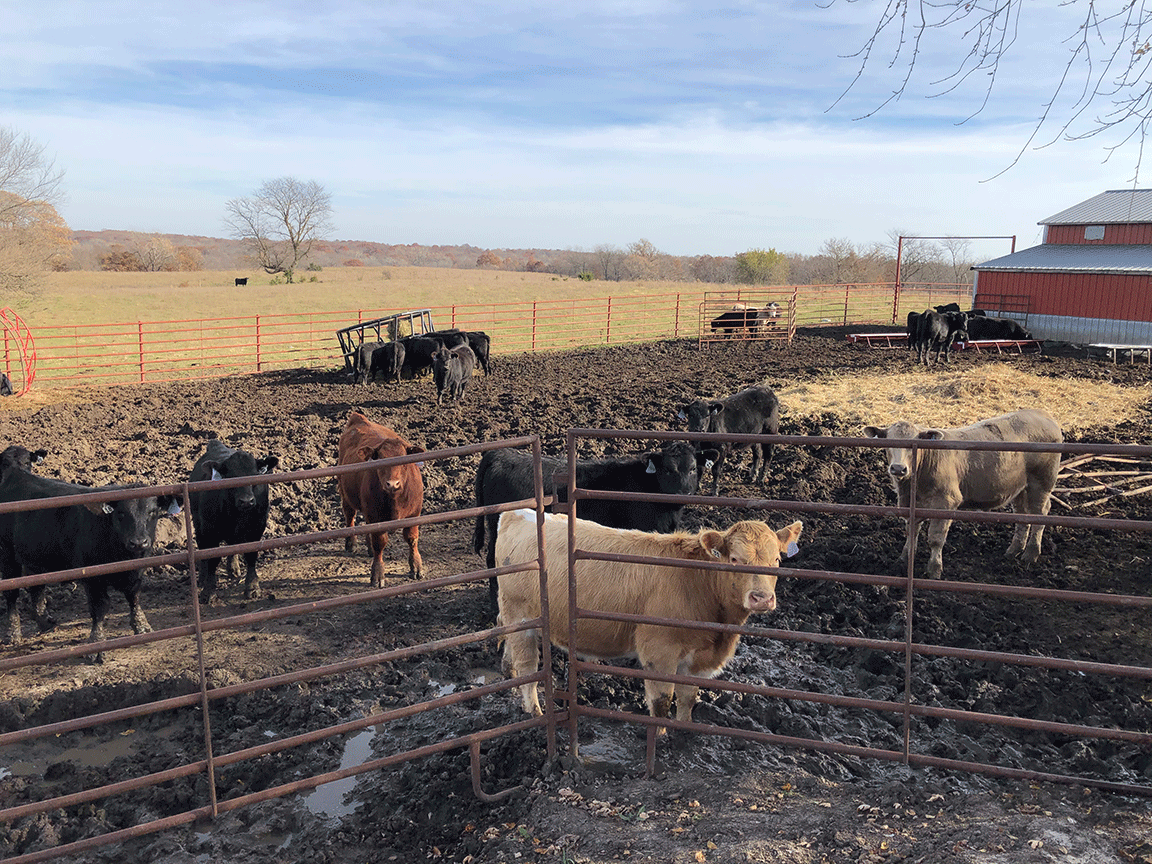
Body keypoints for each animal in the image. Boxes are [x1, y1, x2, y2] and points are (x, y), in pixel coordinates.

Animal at [0, 467, 180, 661]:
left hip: (36, 558)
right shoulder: (92, 578)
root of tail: (15, 473)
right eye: (121, 514)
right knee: (11, 594)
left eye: (152, 512)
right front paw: (96, 644)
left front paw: (142, 627)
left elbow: (134, 596)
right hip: (7, 556)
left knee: (36, 587)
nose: (138, 543)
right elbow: (99, 606)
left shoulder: (137, 571)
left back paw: (44, 622)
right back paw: (12, 633)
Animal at [189, 440, 279, 604]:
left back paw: (233, 568)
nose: (246, 501)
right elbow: (212, 559)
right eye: (230, 476)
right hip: (198, 523)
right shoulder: (209, 530)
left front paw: (252, 587)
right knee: (202, 548)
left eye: (254, 475)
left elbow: (251, 554)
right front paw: (208, 591)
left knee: (232, 545)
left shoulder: (257, 527)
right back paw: (203, 578)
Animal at [337, 412, 425, 586]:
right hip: (346, 494)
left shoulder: (414, 513)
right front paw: (377, 574)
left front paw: (416, 567)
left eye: (404, 461)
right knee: (349, 515)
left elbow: (412, 538)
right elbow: (380, 542)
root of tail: (359, 419)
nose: (392, 484)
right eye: (380, 459)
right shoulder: (375, 515)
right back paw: (351, 543)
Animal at [495, 510, 803, 723]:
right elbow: (662, 700)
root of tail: (518, 513)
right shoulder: (659, 650)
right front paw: (662, 736)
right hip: (519, 618)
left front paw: (684, 729)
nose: (761, 598)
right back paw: (534, 711)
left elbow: (688, 697)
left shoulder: (699, 658)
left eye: (776, 560)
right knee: (528, 667)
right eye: (735, 559)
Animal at [862, 408, 1062, 580]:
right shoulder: (911, 504)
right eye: (888, 442)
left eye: (915, 445)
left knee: (1040, 513)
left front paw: (934, 569)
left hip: (1042, 482)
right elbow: (912, 533)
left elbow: (936, 539)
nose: (898, 468)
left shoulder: (946, 501)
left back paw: (1030, 554)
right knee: (1023, 516)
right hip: (1019, 487)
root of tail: (1042, 414)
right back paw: (1013, 551)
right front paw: (904, 559)